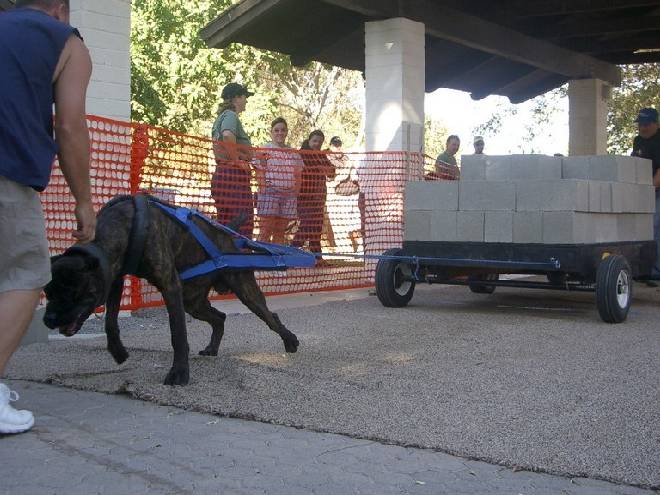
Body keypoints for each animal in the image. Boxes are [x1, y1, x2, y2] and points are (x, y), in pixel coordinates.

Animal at [42, 196, 300, 386]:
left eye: (72, 290)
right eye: (48, 292)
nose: (48, 319)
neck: (125, 226)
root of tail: (228, 236)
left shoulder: (169, 286)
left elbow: (178, 333)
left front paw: (179, 373)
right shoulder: (114, 280)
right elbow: (110, 321)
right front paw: (117, 351)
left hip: (244, 290)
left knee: (270, 316)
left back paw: (290, 340)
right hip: (193, 301)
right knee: (219, 317)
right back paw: (212, 348)